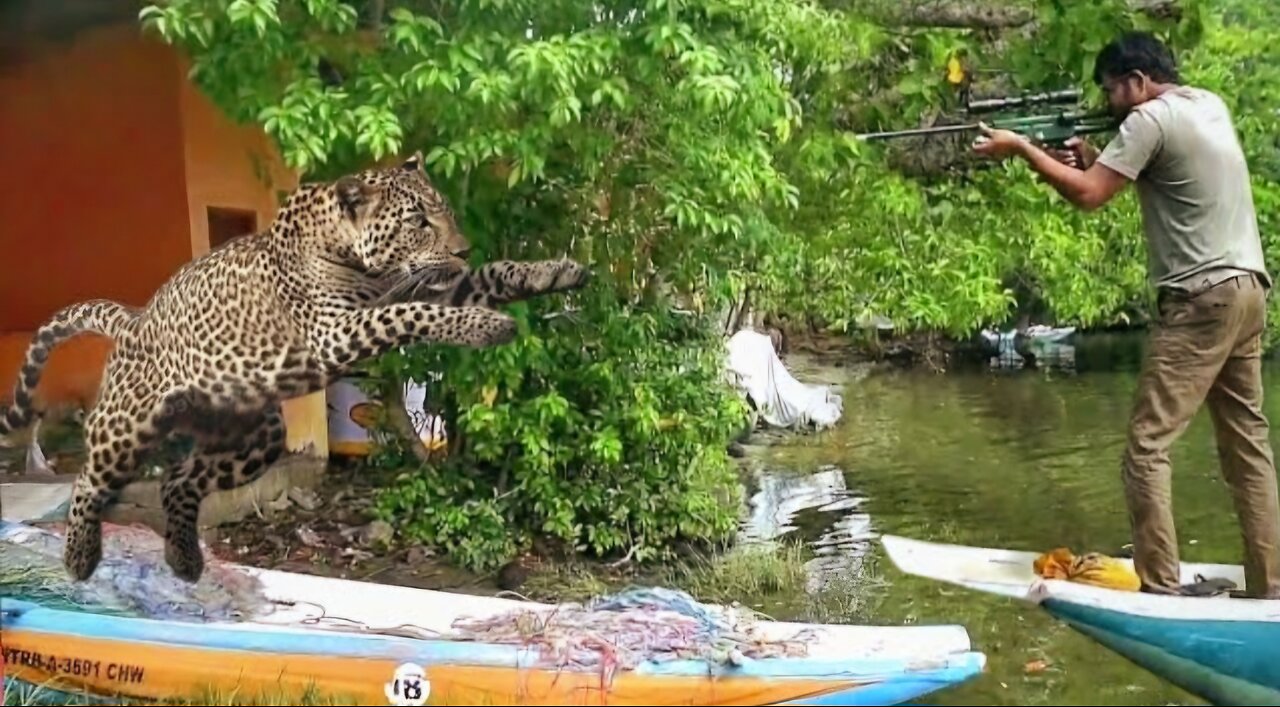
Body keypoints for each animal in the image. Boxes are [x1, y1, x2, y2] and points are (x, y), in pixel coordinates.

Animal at [0, 152, 590, 584]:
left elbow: (486, 278)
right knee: (87, 483)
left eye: (442, 210)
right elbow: (417, 315)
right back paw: (79, 558)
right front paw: (486, 326)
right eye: (418, 221)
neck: (348, 250)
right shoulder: (338, 331)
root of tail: (133, 320)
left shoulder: (417, 288)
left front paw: (554, 271)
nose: (464, 248)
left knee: (176, 482)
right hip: (123, 427)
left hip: (255, 439)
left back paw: (185, 560)